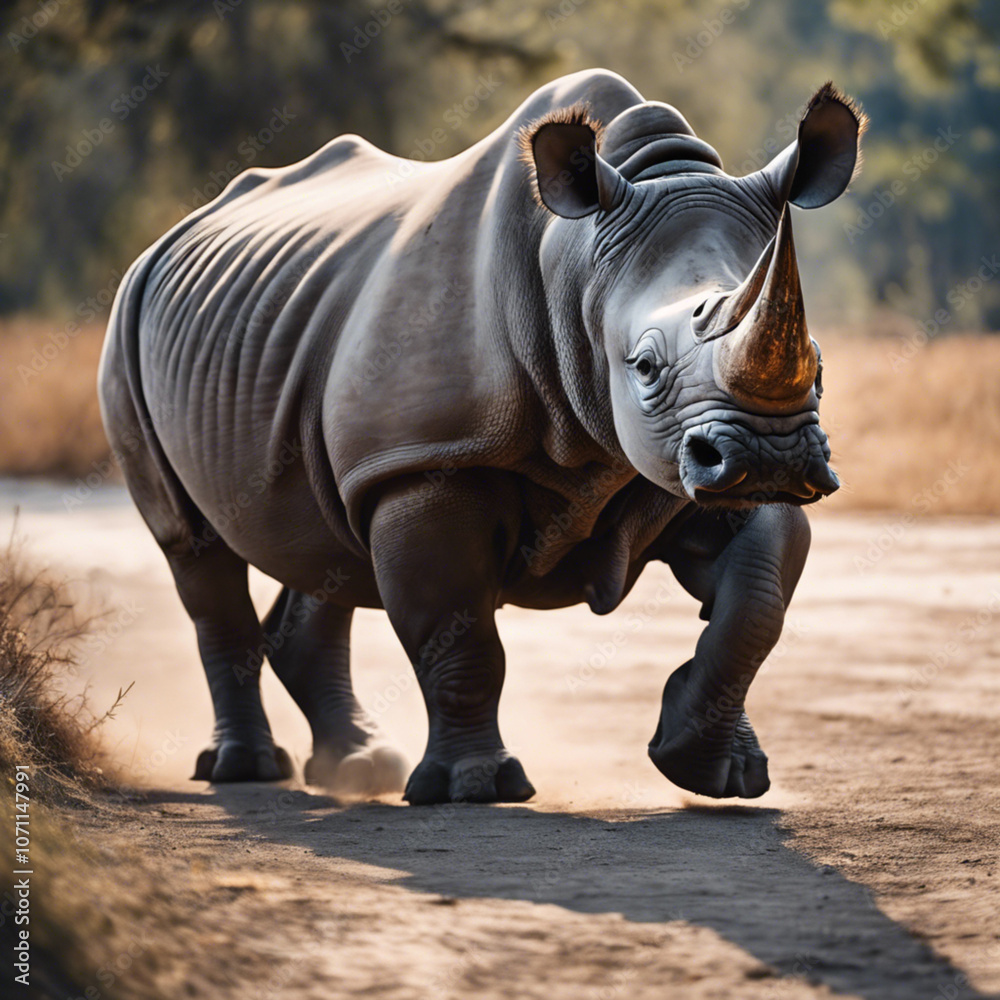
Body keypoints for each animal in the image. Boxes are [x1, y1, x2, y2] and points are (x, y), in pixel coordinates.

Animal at [99, 69, 863, 804]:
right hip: (129, 322)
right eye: (643, 365)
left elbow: (756, 601)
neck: (575, 267)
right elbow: (457, 631)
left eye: (819, 363)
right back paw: (248, 770)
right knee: (196, 548)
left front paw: (715, 770)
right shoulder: (424, 460)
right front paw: (475, 787)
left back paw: (359, 768)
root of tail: (170, 236)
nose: (771, 455)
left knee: (324, 544)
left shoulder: (692, 460)